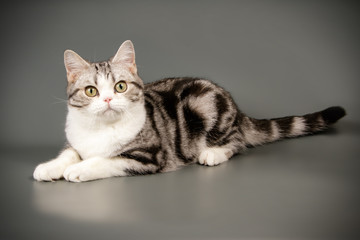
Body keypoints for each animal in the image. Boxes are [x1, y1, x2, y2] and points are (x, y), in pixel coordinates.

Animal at [33, 39, 346, 182]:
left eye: (120, 87)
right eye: (91, 91)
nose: (109, 99)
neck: (102, 130)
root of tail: (236, 107)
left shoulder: (149, 155)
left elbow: (106, 160)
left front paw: (79, 169)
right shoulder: (76, 139)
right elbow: (69, 152)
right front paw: (51, 167)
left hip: (203, 104)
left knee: (238, 141)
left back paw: (213, 152)